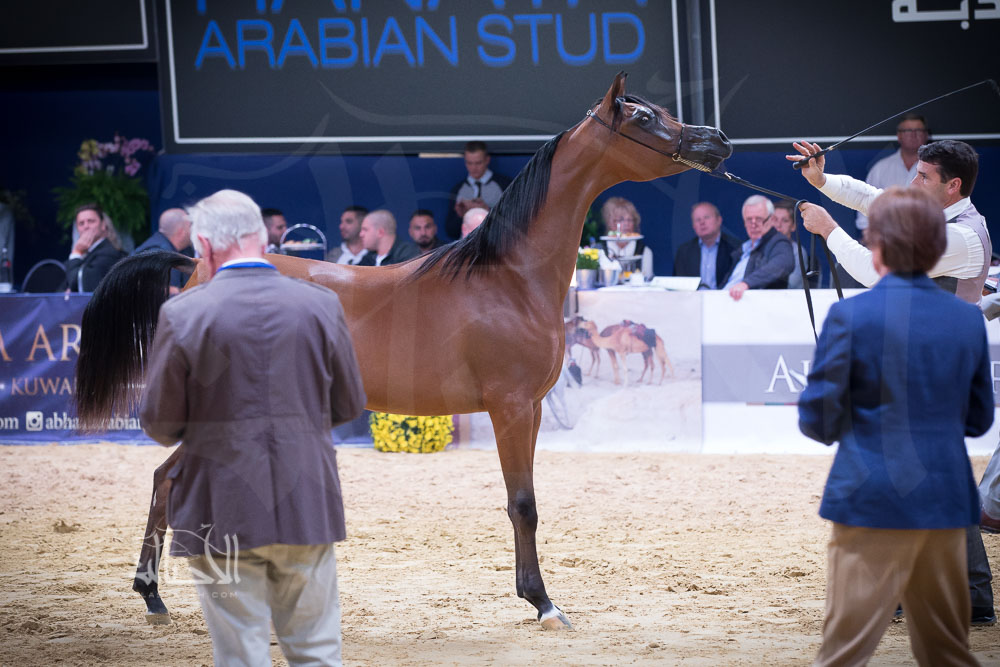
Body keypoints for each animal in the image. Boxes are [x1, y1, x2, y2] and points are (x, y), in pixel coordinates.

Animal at [74, 72, 731, 630]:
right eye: (643, 117)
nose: (718, 141)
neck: (510, 279)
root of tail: (197, 267)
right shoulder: (511, 407)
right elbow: (523, 504)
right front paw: (544, 604)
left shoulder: (535, 409)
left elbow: (525, 502)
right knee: (168, 480)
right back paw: (157, 593)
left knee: (173, 480)